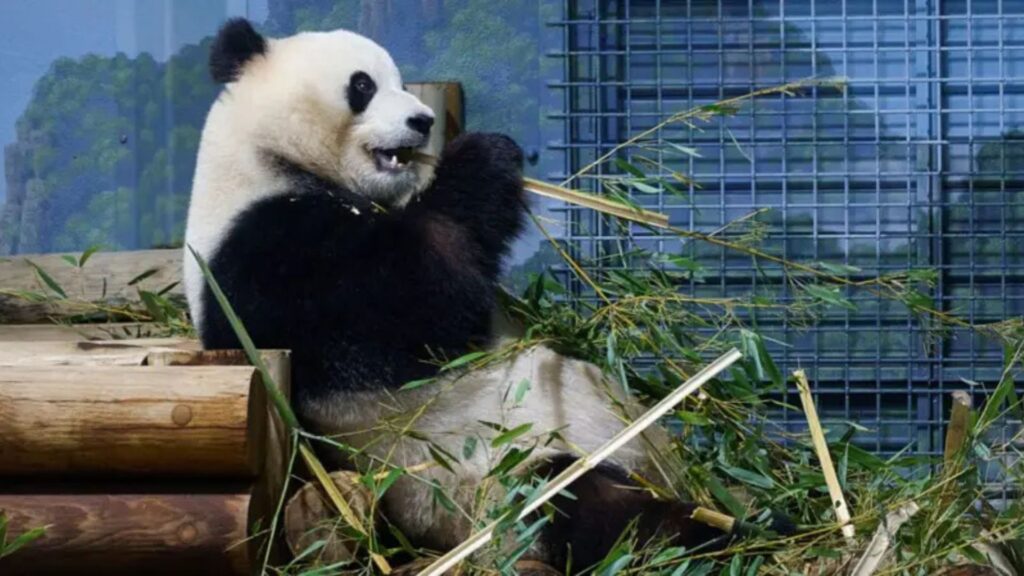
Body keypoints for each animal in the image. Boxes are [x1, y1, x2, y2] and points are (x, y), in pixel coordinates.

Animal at [184, 18, 728, 573]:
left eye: (401, 81)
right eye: (362, 85)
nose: (423, 121)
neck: (270, 160)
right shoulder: (265, 255)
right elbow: (416, 304)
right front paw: (485, 154)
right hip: (501, 481)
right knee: (588, 510)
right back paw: (713, 534)